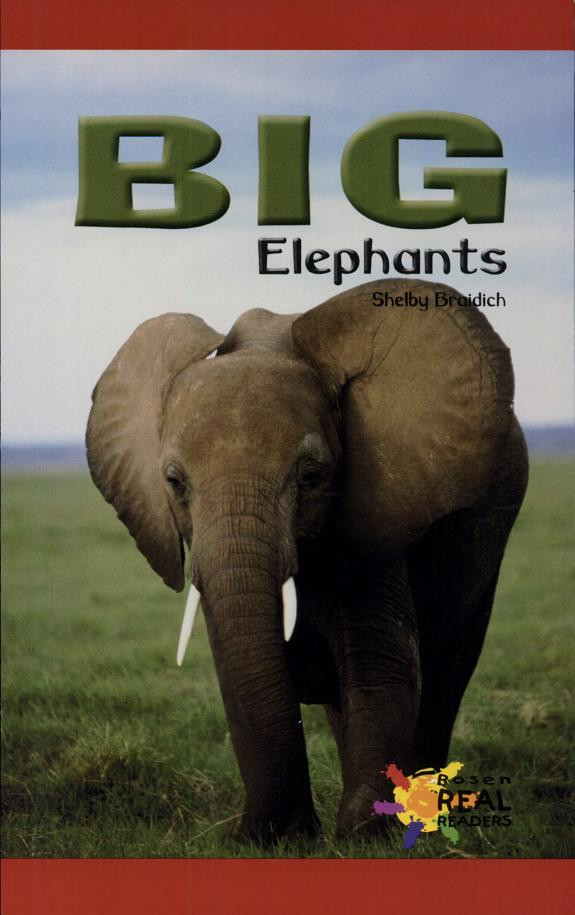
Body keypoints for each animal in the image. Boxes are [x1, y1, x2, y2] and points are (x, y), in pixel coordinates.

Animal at [86, 278, 528, 843]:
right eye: (174, 483)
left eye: (312, 476)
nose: (253, 833)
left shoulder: (375, 507)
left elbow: (383, 665)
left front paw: (364, 830)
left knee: (448, 667)